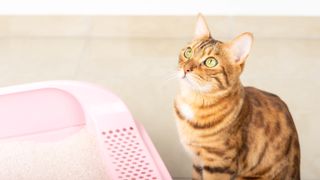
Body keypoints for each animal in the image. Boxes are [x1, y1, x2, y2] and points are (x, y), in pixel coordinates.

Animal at [174, 14, 298, 180]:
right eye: (188, 52)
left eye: (210, 62)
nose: (186, 69)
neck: (194, 100)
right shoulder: (197, 162)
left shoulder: (218, 166)